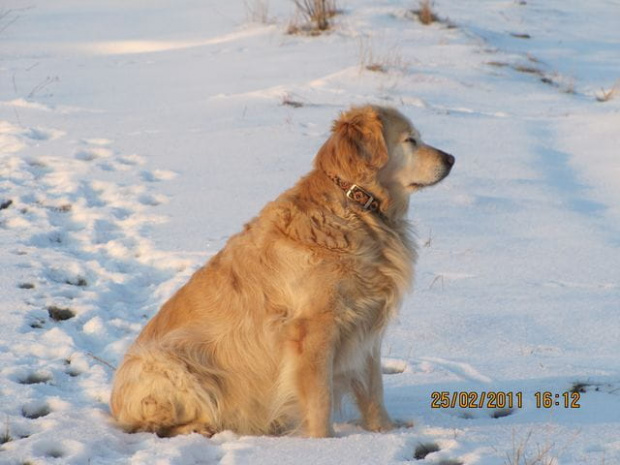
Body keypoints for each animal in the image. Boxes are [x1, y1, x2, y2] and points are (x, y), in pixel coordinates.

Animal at [109, 103, 452, 436]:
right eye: (410, 140)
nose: (451, 158)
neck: (356, 207)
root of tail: (112, 402)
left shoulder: (366, 325)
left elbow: (373, 389)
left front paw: (385, 432)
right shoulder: (313, 330)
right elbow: (320, 398)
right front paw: (324, 443)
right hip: (170, 361)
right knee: (153, 424)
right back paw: (204, 426)